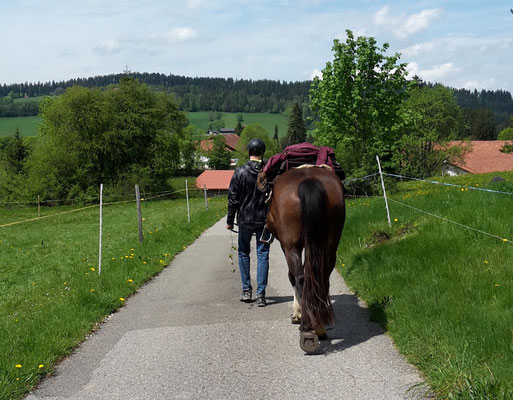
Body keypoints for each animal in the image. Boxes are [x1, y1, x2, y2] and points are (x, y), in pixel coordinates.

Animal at [264, 166, 344, 354]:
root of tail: (308, 180)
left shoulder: (287, 246)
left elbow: (292, 277)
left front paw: (297, 313)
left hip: (291, 246)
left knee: (300, 278)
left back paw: (307, 328)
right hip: (329, 245)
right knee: (320, 277)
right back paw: (318, 325)